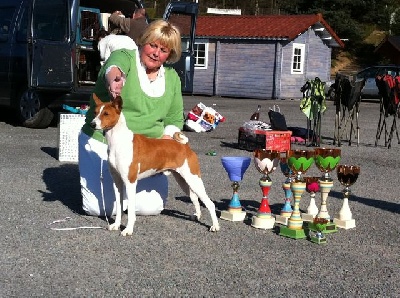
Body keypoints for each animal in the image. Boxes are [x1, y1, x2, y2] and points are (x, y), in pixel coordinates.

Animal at [90, 94, 220, 236]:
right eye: (95, 112)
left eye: (106, 114)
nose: (92, 124)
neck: (118, 142)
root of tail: (185, 146)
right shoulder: (117, 182)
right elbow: (119, 208)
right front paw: (116, 225)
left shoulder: (130, 182)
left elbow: (130, 211)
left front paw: (128, 230)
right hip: (183, 180)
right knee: (194, 197)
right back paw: (197, 216)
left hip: (193, 179)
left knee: (210, 203)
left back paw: (215, 226)